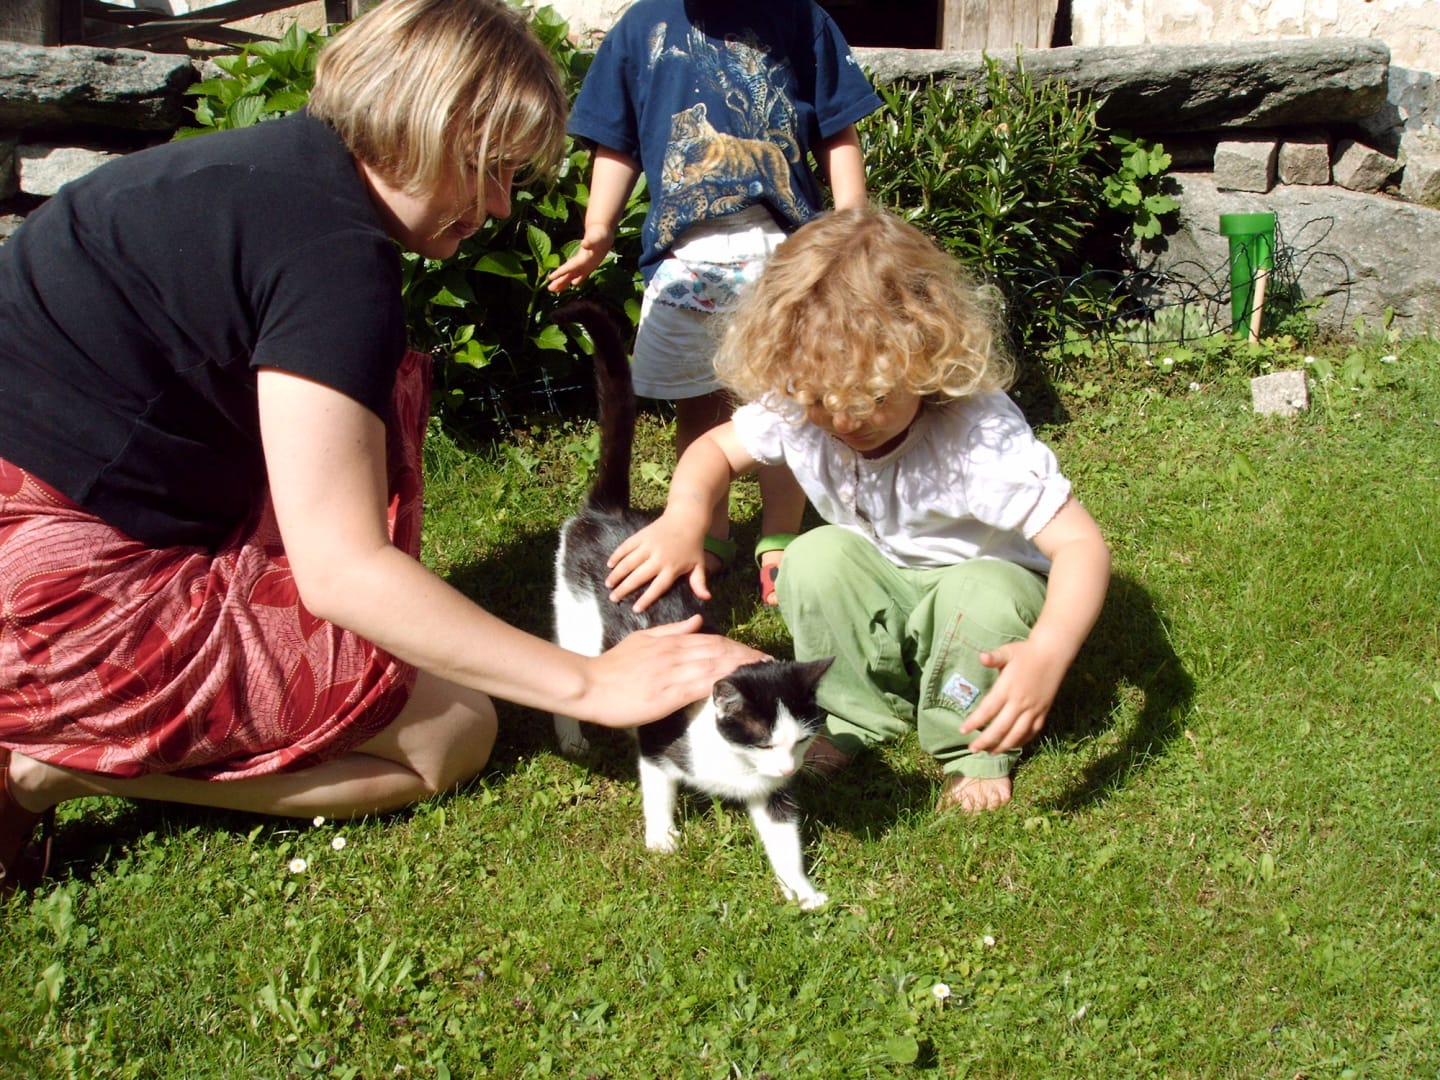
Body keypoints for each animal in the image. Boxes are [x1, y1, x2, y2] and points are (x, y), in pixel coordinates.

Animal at [550, 298, 833, 910]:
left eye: (800, 741)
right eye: (766, 739)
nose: (787, 766)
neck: (737, 766)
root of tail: (611, 513)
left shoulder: (772, 796)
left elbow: (783, 838)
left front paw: (802, 893)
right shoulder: (660, 744)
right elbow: (656, 788)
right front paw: (661, 839)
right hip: (577, 618)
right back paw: (573, 737)